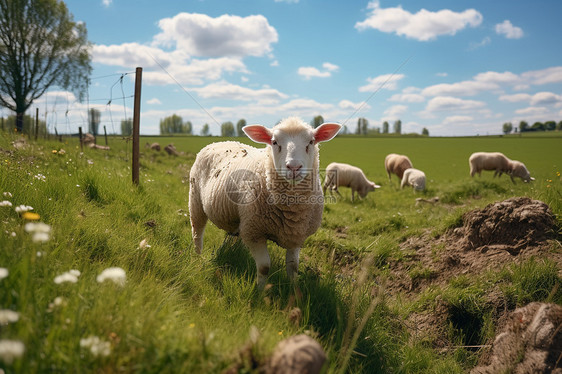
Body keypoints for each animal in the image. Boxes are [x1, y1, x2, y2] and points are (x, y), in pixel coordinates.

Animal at [188, 117, 340, 286]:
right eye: (274, 142)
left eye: (311, 141)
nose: (294, 167)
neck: (291, 210)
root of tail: (220, 142)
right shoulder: (255, 232)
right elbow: (264, 267)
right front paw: (261, 291)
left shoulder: (296, 236)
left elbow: (293, 268)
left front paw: (294, 290)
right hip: (195, 200)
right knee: (197, 232)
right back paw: (198, 258)